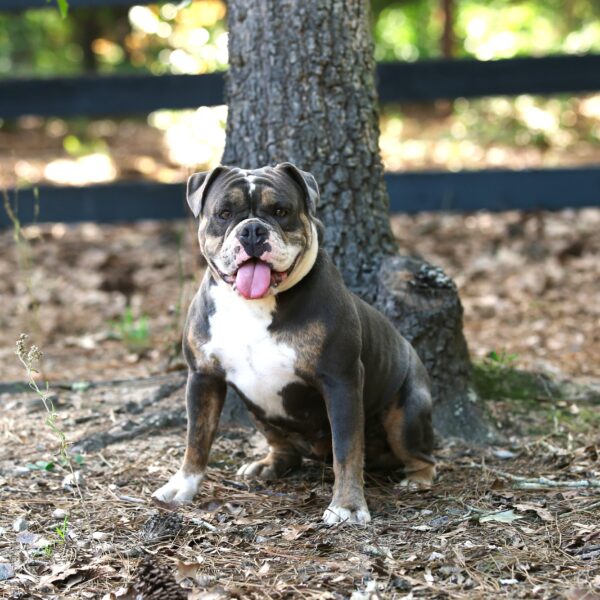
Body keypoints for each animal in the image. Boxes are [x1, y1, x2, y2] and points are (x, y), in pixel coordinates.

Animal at [152, 162, 434, 524]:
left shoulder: (341, 381)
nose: (252, 230)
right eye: (224, 213)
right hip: (257, 410)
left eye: (281, 211)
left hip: (406, 413)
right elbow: (196, 438)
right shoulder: (203, 377)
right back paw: (269, 464)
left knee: (419, 453)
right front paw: (182, 487)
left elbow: (347, 449)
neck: (254, 305)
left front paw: (347, 505)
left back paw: (418, 479)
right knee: (282, 444)